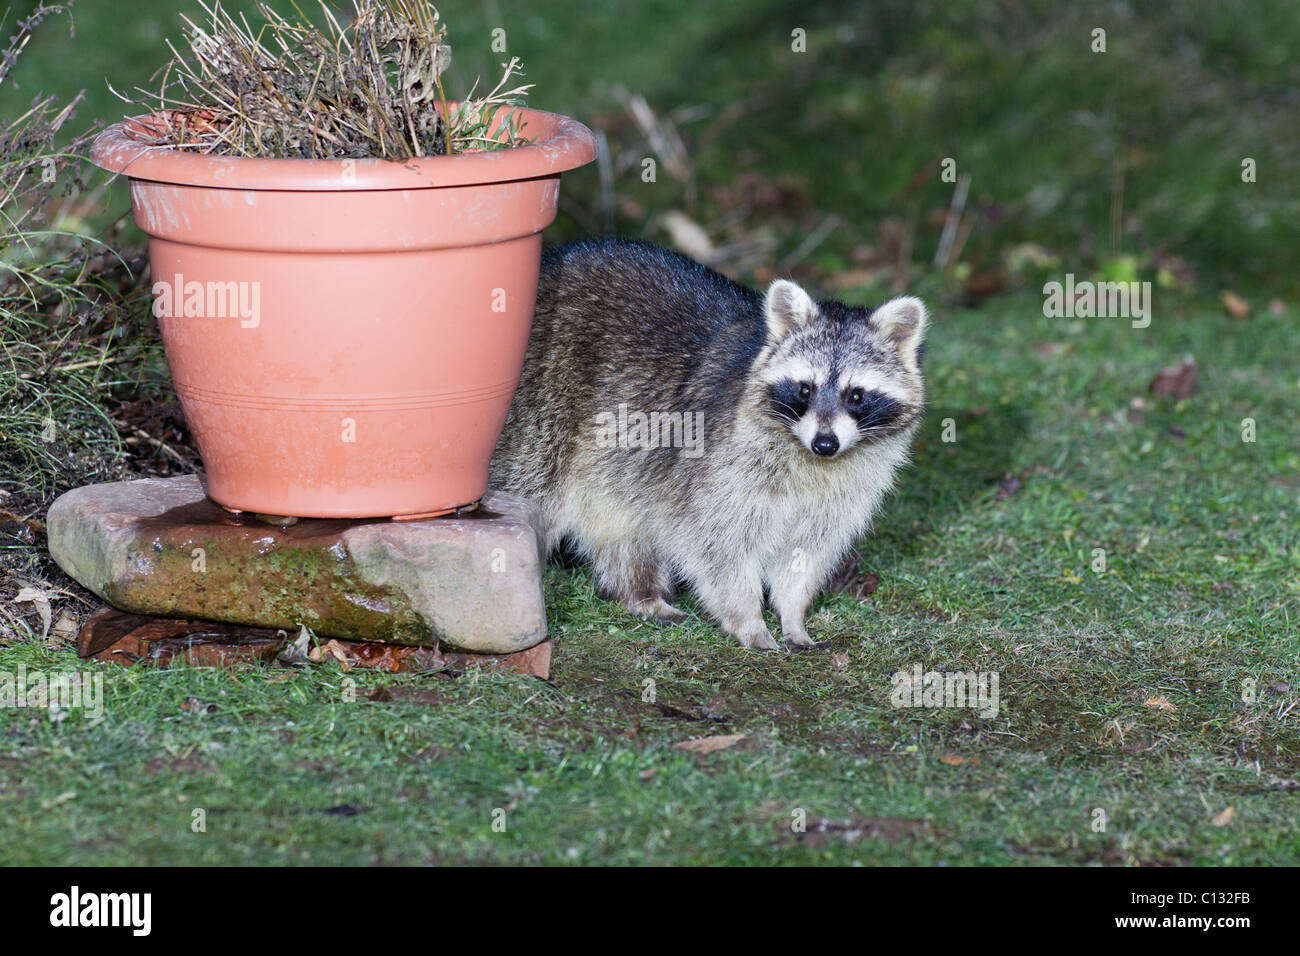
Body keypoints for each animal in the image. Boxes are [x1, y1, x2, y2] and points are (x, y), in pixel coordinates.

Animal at [488, 239, 925, 650]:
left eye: (856, 395)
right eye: (805, 389)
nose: (825, 443)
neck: (811, 461)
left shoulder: (843, 490)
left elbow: (805, 553)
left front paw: (793, 614)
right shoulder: (719, 468)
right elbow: (717, 545)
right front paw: (748, 617)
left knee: (626, 525)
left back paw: (642, 592)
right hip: (539, 410)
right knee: (528, 489)